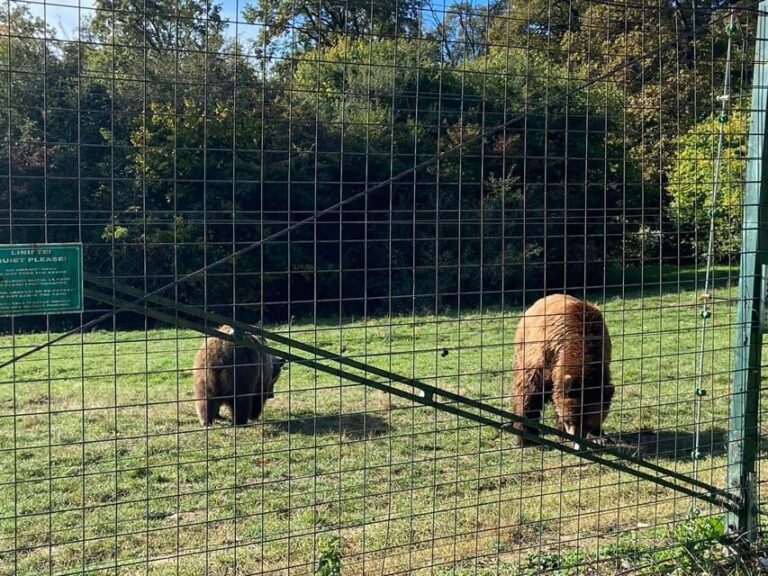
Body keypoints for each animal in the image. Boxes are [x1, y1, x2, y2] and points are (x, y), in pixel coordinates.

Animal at [511, 294, 613, 449]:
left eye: (588, 424)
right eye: (571, 420)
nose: (578, 444)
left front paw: (599, 436)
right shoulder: (545, 356)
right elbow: (530, 391)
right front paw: (527, 438)